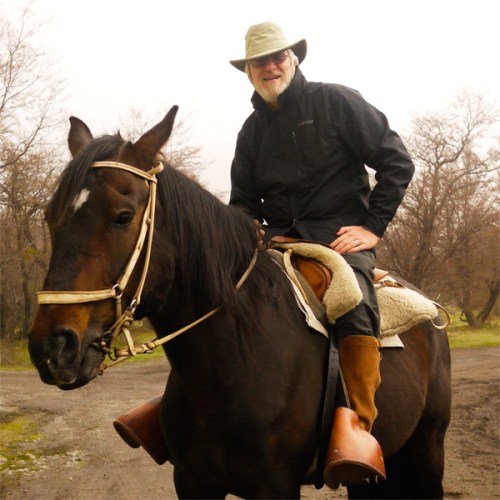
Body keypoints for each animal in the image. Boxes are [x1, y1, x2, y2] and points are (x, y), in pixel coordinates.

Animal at [28, 107, 452, 499]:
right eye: (49, 216)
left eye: (122, 216)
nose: (51, 348)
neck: (233, 361)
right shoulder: (192, 481)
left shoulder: (276, 487)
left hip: (428, 448)